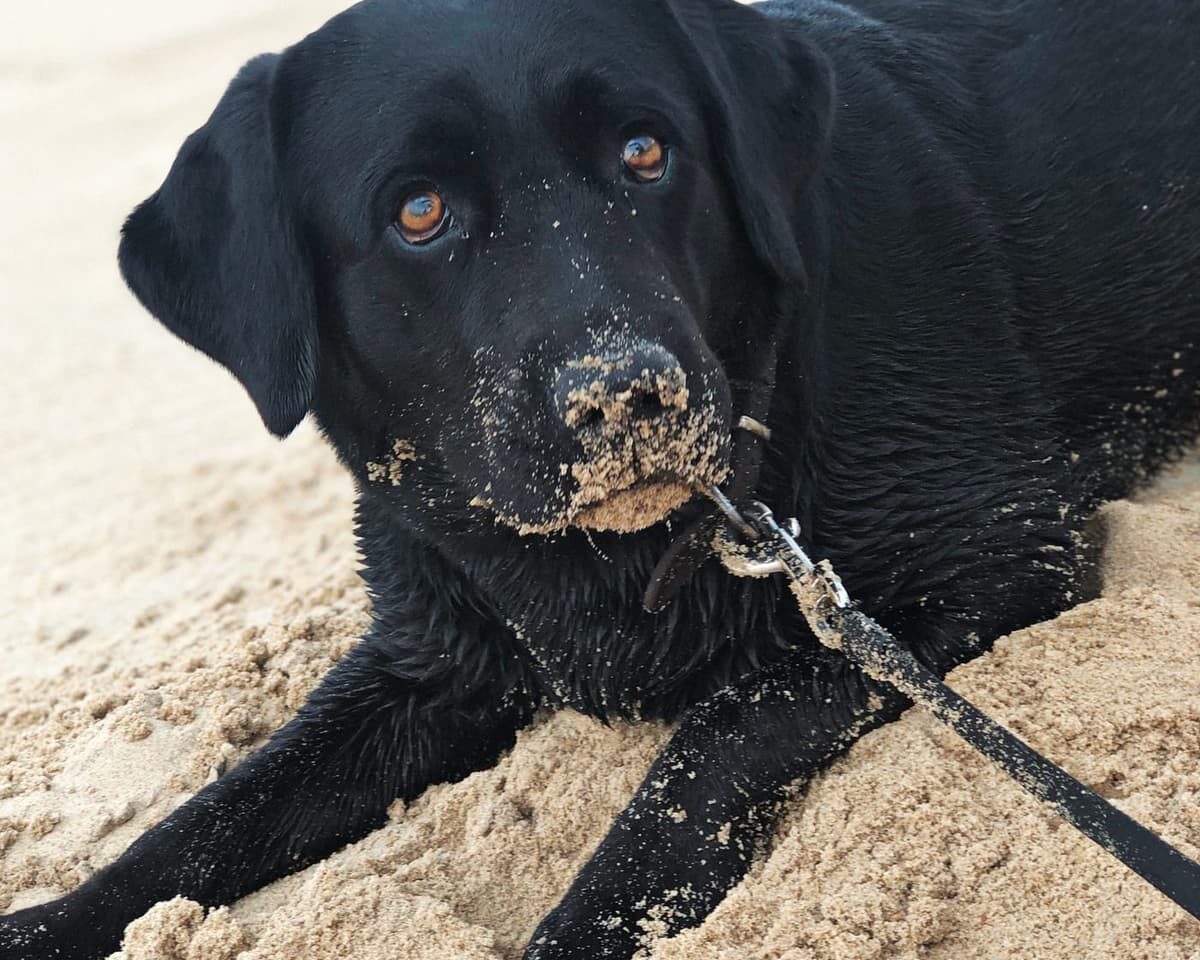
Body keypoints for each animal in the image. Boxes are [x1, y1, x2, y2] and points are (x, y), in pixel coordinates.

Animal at [2, 0, 1200, 955]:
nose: (627, 397)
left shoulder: (983, 555)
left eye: (645, 150)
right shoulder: (430, 657)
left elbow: (707, 753)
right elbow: (206, 820)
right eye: (418, 212)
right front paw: (47, 923)